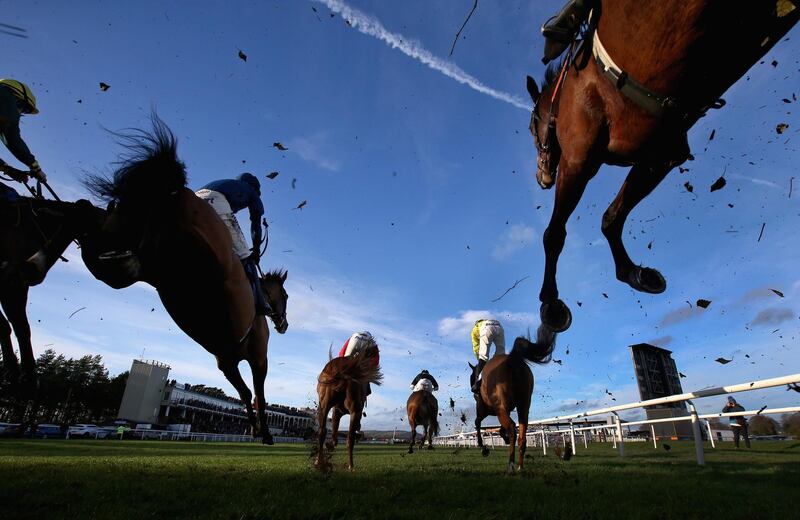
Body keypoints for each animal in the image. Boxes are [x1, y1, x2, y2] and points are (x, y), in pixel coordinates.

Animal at [39, 117, 290, 442]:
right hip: (190, 249)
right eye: (286, 297)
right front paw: (263, 432)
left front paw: (255, 428)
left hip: (123, 252)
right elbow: (257, 393)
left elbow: (246, 393)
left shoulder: (225, 359)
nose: (284, 324)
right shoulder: (256, 356)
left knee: (90, 224)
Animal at [472, 324, 552, 476]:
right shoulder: (507, 409)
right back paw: (520, 466)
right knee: (521, 435)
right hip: (523, 407)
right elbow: (500, 429)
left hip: (500, 408)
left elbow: (477, 423)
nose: (473, 387)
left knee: (511, 427)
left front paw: (483, 448)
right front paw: (504, 439)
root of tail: (513, 358)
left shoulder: (484, 409)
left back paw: (511, 466)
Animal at [528, 1, 796, 334]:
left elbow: (557, 233)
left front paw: (550, 299)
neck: (568, 90)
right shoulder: (658, 157)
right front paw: (630, 271)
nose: (541, 177)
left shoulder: (579, 158)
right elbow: (612, 216)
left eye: (531, 127)